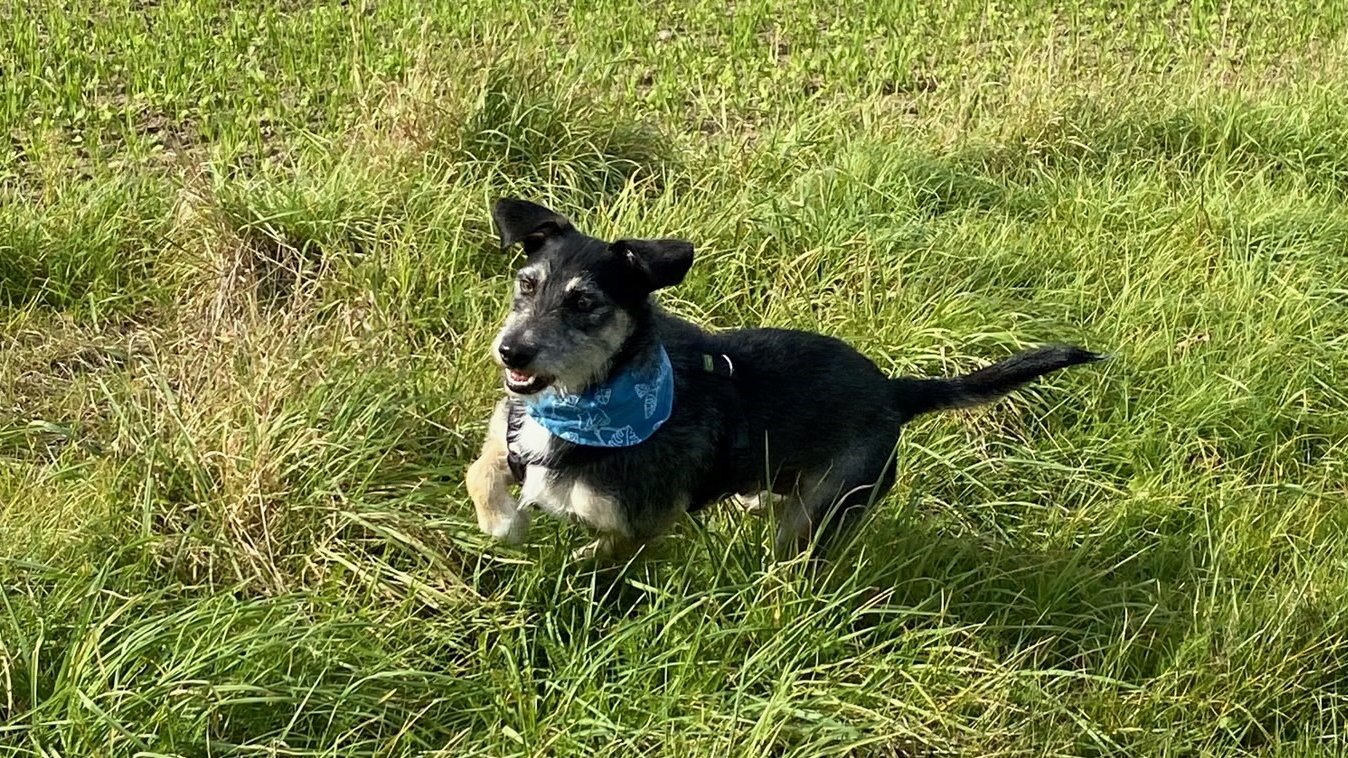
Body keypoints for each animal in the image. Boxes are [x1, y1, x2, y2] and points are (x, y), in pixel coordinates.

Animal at [469, 198, 1099, 558]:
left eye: (584, 304)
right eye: (526, 284)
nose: (510, 352)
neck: (585, 405)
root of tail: (893, 391)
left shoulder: (640, 529)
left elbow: (593, 563)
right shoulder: (510, 425)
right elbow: (483, 471)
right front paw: (504, 522)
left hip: (814, 516)